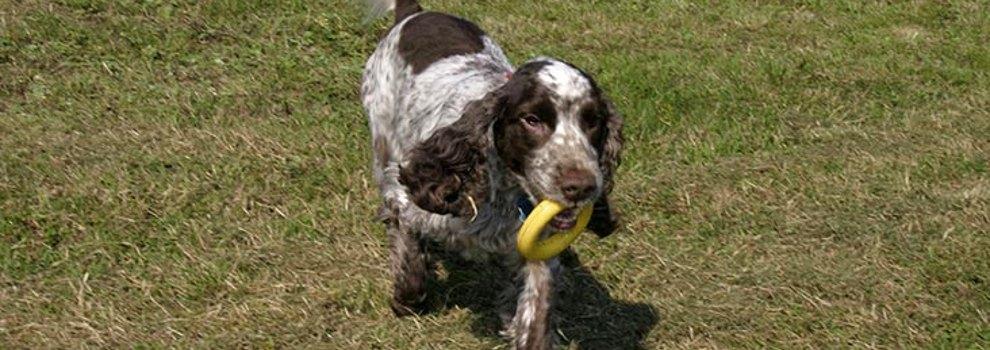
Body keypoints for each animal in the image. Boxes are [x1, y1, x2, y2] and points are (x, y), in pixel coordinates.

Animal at [364, 1, 624, 348]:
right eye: (531, 119)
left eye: (593, 121)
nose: (582, 186)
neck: (504, 193)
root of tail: (416, 13)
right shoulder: (407, 199)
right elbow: (410, 260)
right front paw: (405, 301)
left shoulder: (538, 251)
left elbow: (536, 310)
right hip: (382, 139)